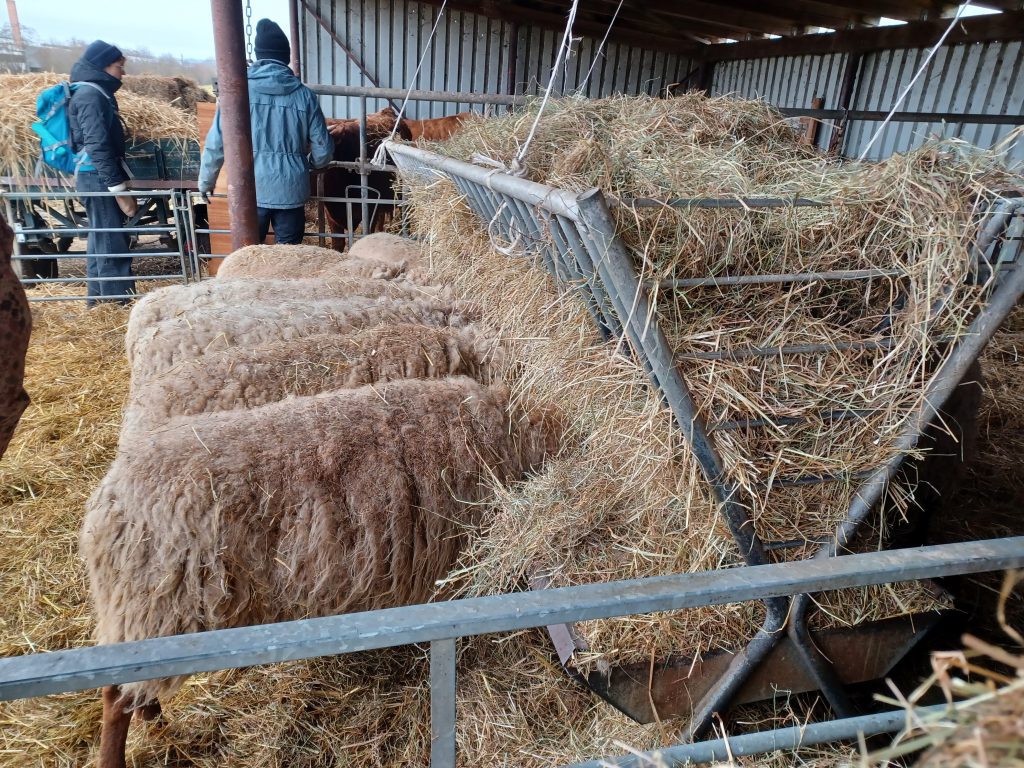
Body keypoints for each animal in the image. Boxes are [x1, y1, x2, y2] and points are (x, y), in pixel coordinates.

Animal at [82, 376, 563, 767]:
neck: (514, 436)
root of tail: (110, 500)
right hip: (159, 605)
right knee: (114, 697)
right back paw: (118, 754)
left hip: (149, 615)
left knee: (133, 685)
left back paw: (153, 716)